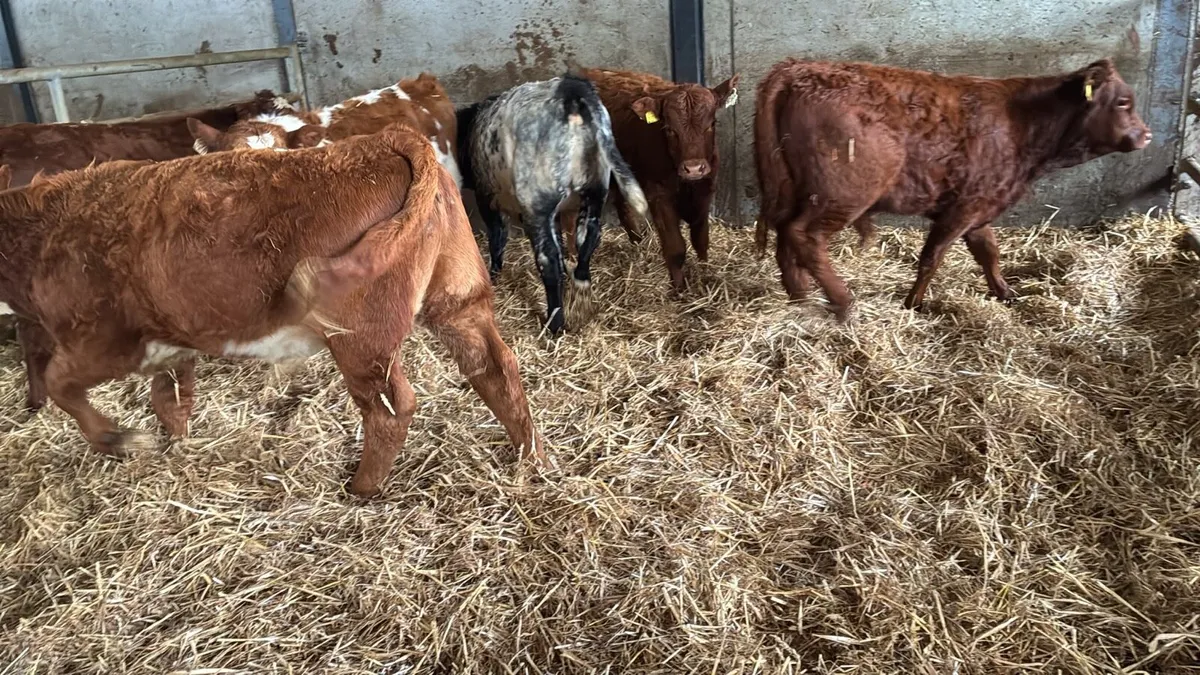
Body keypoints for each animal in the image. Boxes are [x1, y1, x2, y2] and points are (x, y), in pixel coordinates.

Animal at [0, 124, 549, 497]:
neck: (41, 234)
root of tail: (387, 140)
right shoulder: (169, 340)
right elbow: (169, 399)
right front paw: (175, 448)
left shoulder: (101, 340)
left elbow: (61, 384)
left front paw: (120, 439)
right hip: (458, 301)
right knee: (495, 369)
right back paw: (532, 459)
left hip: (361, 338)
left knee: (391, 409)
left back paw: (361, 489)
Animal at [457, 74, 648, 335]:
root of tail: (571, 89)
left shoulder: (487, 197)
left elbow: (497, 238)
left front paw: (493, 275)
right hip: (595, 192)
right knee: (588, 237)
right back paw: (580, 291)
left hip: (537, 202)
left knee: (548, 259)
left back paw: (555, 323)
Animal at [562, 67, 740, 291]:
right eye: (669, 129)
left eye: (712, 124)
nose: (693, 168)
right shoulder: (659, 195)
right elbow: (675, 247)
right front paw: (679, 289)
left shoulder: (705, 191)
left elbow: (701, 239)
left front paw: (705, 272)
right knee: (568, 215)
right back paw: (572, 258)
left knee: (621, 207)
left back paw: (637, 244)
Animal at [754, 58, 1152, 320]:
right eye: (1122, 102)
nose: (1146, 135)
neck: (1022, 122)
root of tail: (797, 68)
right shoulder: (963, 208)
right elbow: (933, 256)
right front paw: (913, 304)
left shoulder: (981, 207)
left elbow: (988, 254)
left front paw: (1005, 293)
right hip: (842, 195)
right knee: (804, 235)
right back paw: (842, 301)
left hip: (795, 190)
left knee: (786, 235)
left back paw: (800, 297)